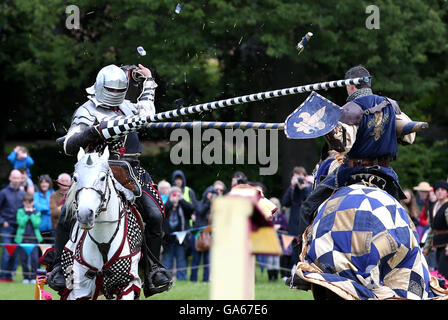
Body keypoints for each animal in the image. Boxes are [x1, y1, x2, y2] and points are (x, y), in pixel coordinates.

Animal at [59, 148, 144, 300]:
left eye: (103, 178)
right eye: (75, 178)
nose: (85, 215)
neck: (103, 242)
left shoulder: (128, 284)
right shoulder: (79, 289)